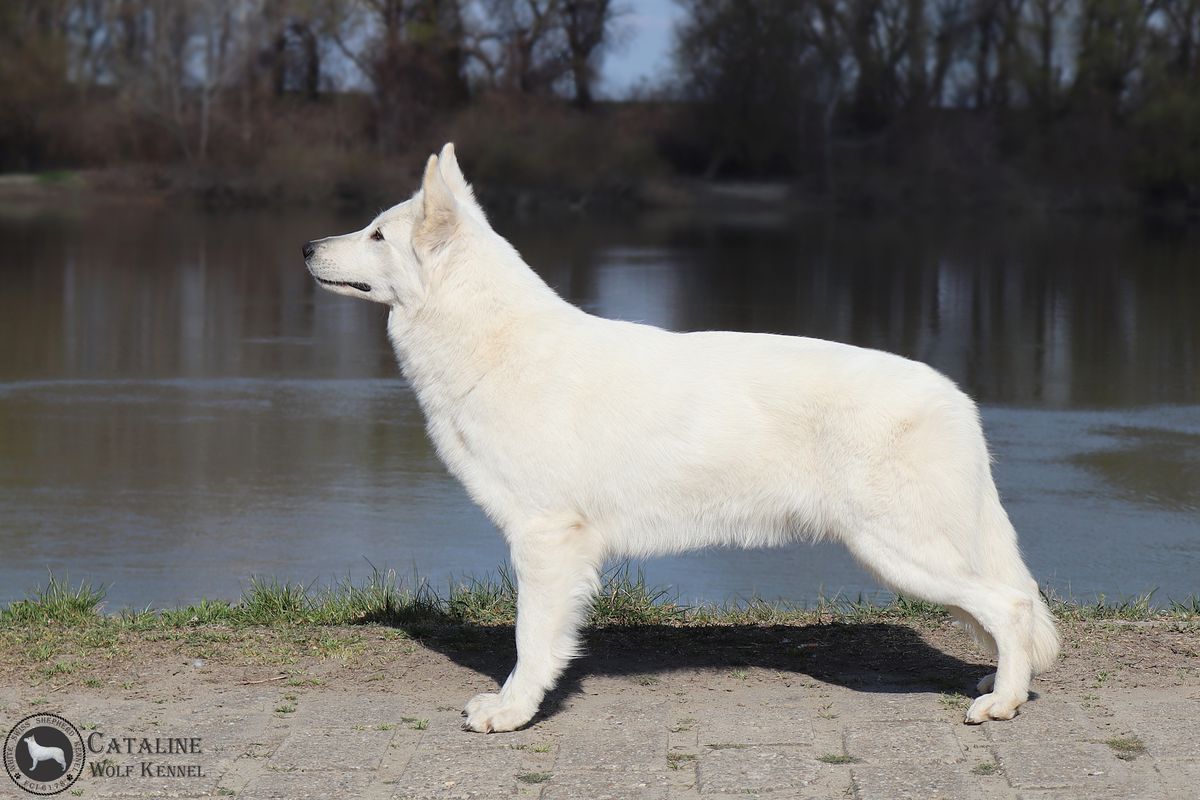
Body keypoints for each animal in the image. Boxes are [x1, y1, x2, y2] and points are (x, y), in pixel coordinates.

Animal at [302, 142, 1060, 734]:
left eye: (377, 235)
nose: (307, 246)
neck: (491, 341)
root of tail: (956, 398)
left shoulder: (546, 540)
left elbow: (531, 639)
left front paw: (513, 711)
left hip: (899, 551)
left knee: (1012, 605)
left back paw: (1001, 704)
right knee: (1006, 608)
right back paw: (1005, 689)